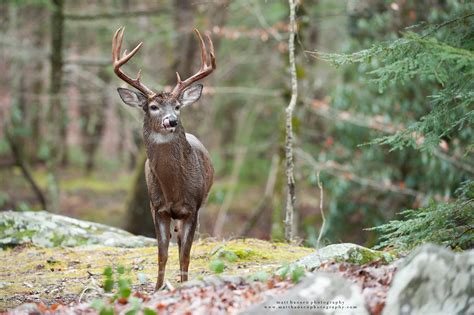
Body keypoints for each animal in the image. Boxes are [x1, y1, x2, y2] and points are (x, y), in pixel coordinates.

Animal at [111, 27, 215, 292]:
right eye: (153, 106)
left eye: (177, 106)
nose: (172, 121)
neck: (174, 191)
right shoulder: (157, 208)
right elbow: (162, 253)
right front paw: (157, 288)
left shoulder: (193, 208)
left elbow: (185, 255)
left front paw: (183, 285)